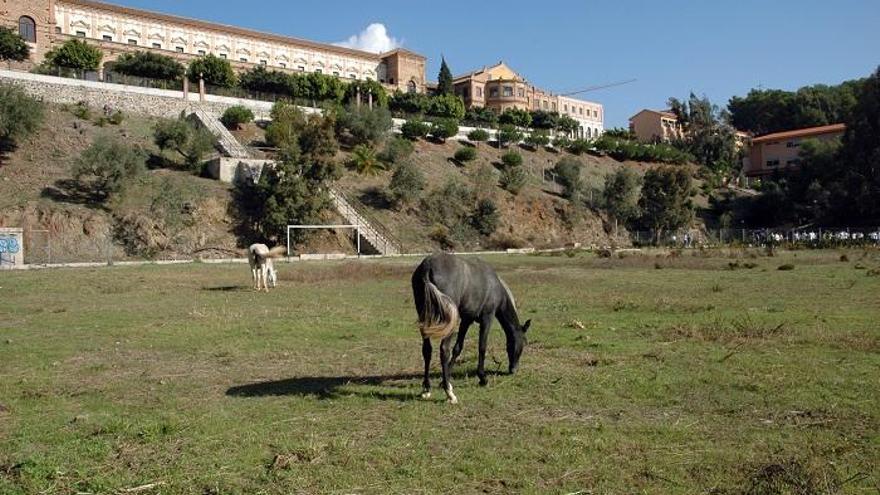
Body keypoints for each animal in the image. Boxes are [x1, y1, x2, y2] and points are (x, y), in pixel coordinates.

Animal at [410, 254, 528, 404]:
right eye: (520, 345)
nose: (513, 370)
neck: (494, 285)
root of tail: (427, 266)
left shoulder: (466, 320)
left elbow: (458, 348)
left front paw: (444, 380)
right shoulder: (487, 318)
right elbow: (482, 347)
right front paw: (482, 378)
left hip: (425, 317)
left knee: (427, 351)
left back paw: (427, 389)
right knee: (444, 350)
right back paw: (450, 394)